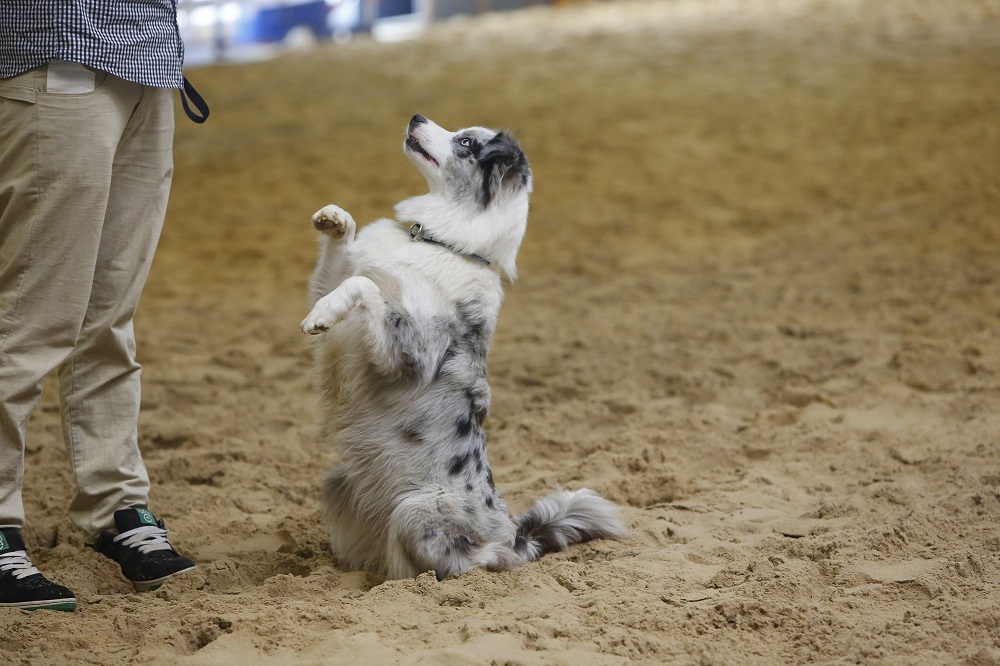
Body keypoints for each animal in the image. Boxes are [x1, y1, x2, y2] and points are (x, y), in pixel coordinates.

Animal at [300, 116, 624, 580]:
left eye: (466, 142)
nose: (416, 117)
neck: (442, 243)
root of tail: (514, 533)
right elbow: (340, 273)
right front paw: (336, 220)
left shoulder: (409, 354)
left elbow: (364, 286)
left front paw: (322, 313)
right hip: (340, 479)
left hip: (417, 511)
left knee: (478, 561)